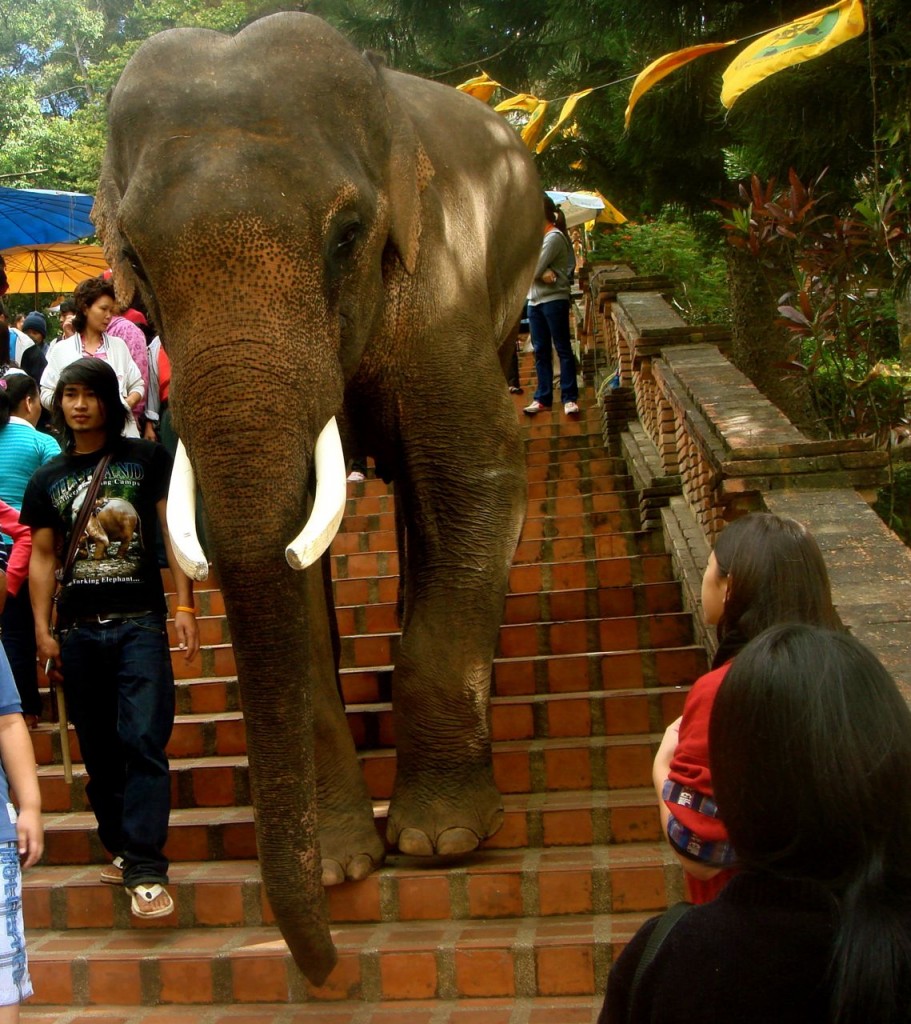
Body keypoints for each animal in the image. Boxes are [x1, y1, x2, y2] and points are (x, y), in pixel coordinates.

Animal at [94, 8, 540, 983]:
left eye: (347, 235)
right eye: (134, 258)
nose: (326, 964)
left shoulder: (441, 283)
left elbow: (477, 470)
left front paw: (442, 843)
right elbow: (273, 552)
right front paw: (343, 866)